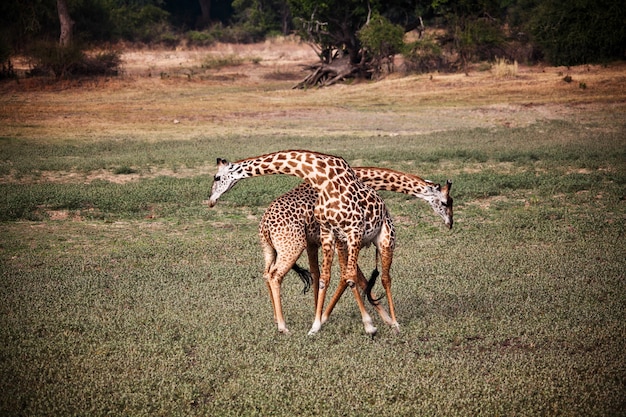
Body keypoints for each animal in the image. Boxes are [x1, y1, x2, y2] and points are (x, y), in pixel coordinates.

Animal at [256, 166, 450, 332]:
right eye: (446, 202)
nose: (450, 222)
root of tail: (264, 224)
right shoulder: (337, 241)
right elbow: (349, 277)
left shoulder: (315, 243)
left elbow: (321, 275)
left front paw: (318, 316)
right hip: (293, 246)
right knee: (275, 276)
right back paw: (283, 326)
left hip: (271, 249)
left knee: (266, 274)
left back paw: (276, 319)